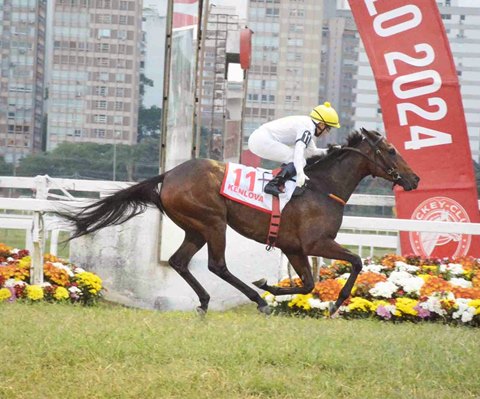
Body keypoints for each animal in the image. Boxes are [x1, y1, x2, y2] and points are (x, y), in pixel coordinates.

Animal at [58, 130, 420, 318]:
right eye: (391, 150)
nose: (415, 178)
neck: (323, 187)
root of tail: (169, 174)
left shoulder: (294, 248)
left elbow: (306, 284)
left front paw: (272, 288)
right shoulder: (316, 243)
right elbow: (356, 261)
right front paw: (335, 303)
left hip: (195, 227)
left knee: (179, 261)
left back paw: (207, 302)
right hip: (213, 222)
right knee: (217, 265)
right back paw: (254, 300)